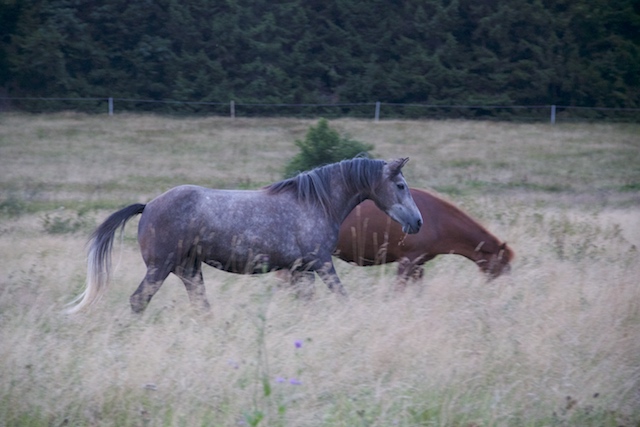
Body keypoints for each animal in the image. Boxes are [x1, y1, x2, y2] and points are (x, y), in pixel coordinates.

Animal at [67, 157, 422, 314]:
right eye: (400, 185)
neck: (315, 203)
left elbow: (307, 304)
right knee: (139, 300)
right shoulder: (320, 263)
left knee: (201, 305)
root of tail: (149, 205)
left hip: (188, 269)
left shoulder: (301, 270)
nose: (417, 222)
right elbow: (341, 297)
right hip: (161, 267)